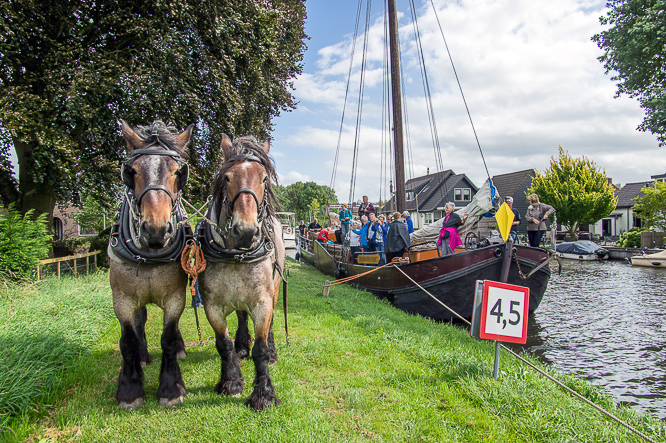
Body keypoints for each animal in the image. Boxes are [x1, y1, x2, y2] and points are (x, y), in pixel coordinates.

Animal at [107, 120, 193, 410]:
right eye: (131, 171)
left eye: (178, 172)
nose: (156, 230)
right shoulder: (121, 298)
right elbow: (128, 340)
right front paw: (129, 388)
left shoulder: (177, 296)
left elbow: (168, 337)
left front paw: (171, 387)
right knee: (140, 320)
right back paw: (143, 357)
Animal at [195, 135, 282, 412]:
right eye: (227, 178)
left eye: (263, 178)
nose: (245, 231)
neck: (236, 255)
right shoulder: (211, 305)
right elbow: (223, 344)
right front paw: (231, 381)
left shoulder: (263, 302)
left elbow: (261, 349)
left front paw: (264, 394)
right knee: (242, 316)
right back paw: (242, 346)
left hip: (275, 290)